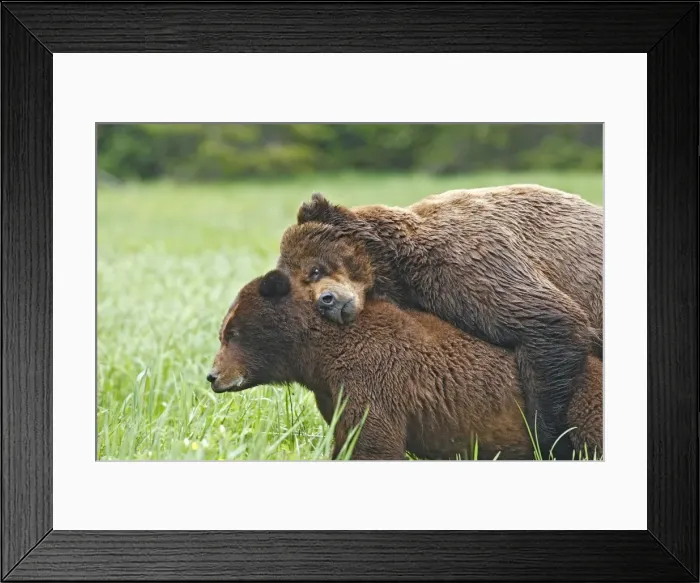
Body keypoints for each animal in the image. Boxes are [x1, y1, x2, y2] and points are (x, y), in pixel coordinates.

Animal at [206, 269, 603, 461]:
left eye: (232, 333)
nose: (212, 376)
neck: (317, 357)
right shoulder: (334, 394)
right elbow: (345, 439)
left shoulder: (373, 378)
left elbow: (373, 443)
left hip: (578, 404)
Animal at [278, 184, 604, 458]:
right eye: (299, 284)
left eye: (314, 269)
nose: (327, 301)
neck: (398, 263)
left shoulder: (466, 264)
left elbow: (549, 320)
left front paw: (550, 442)